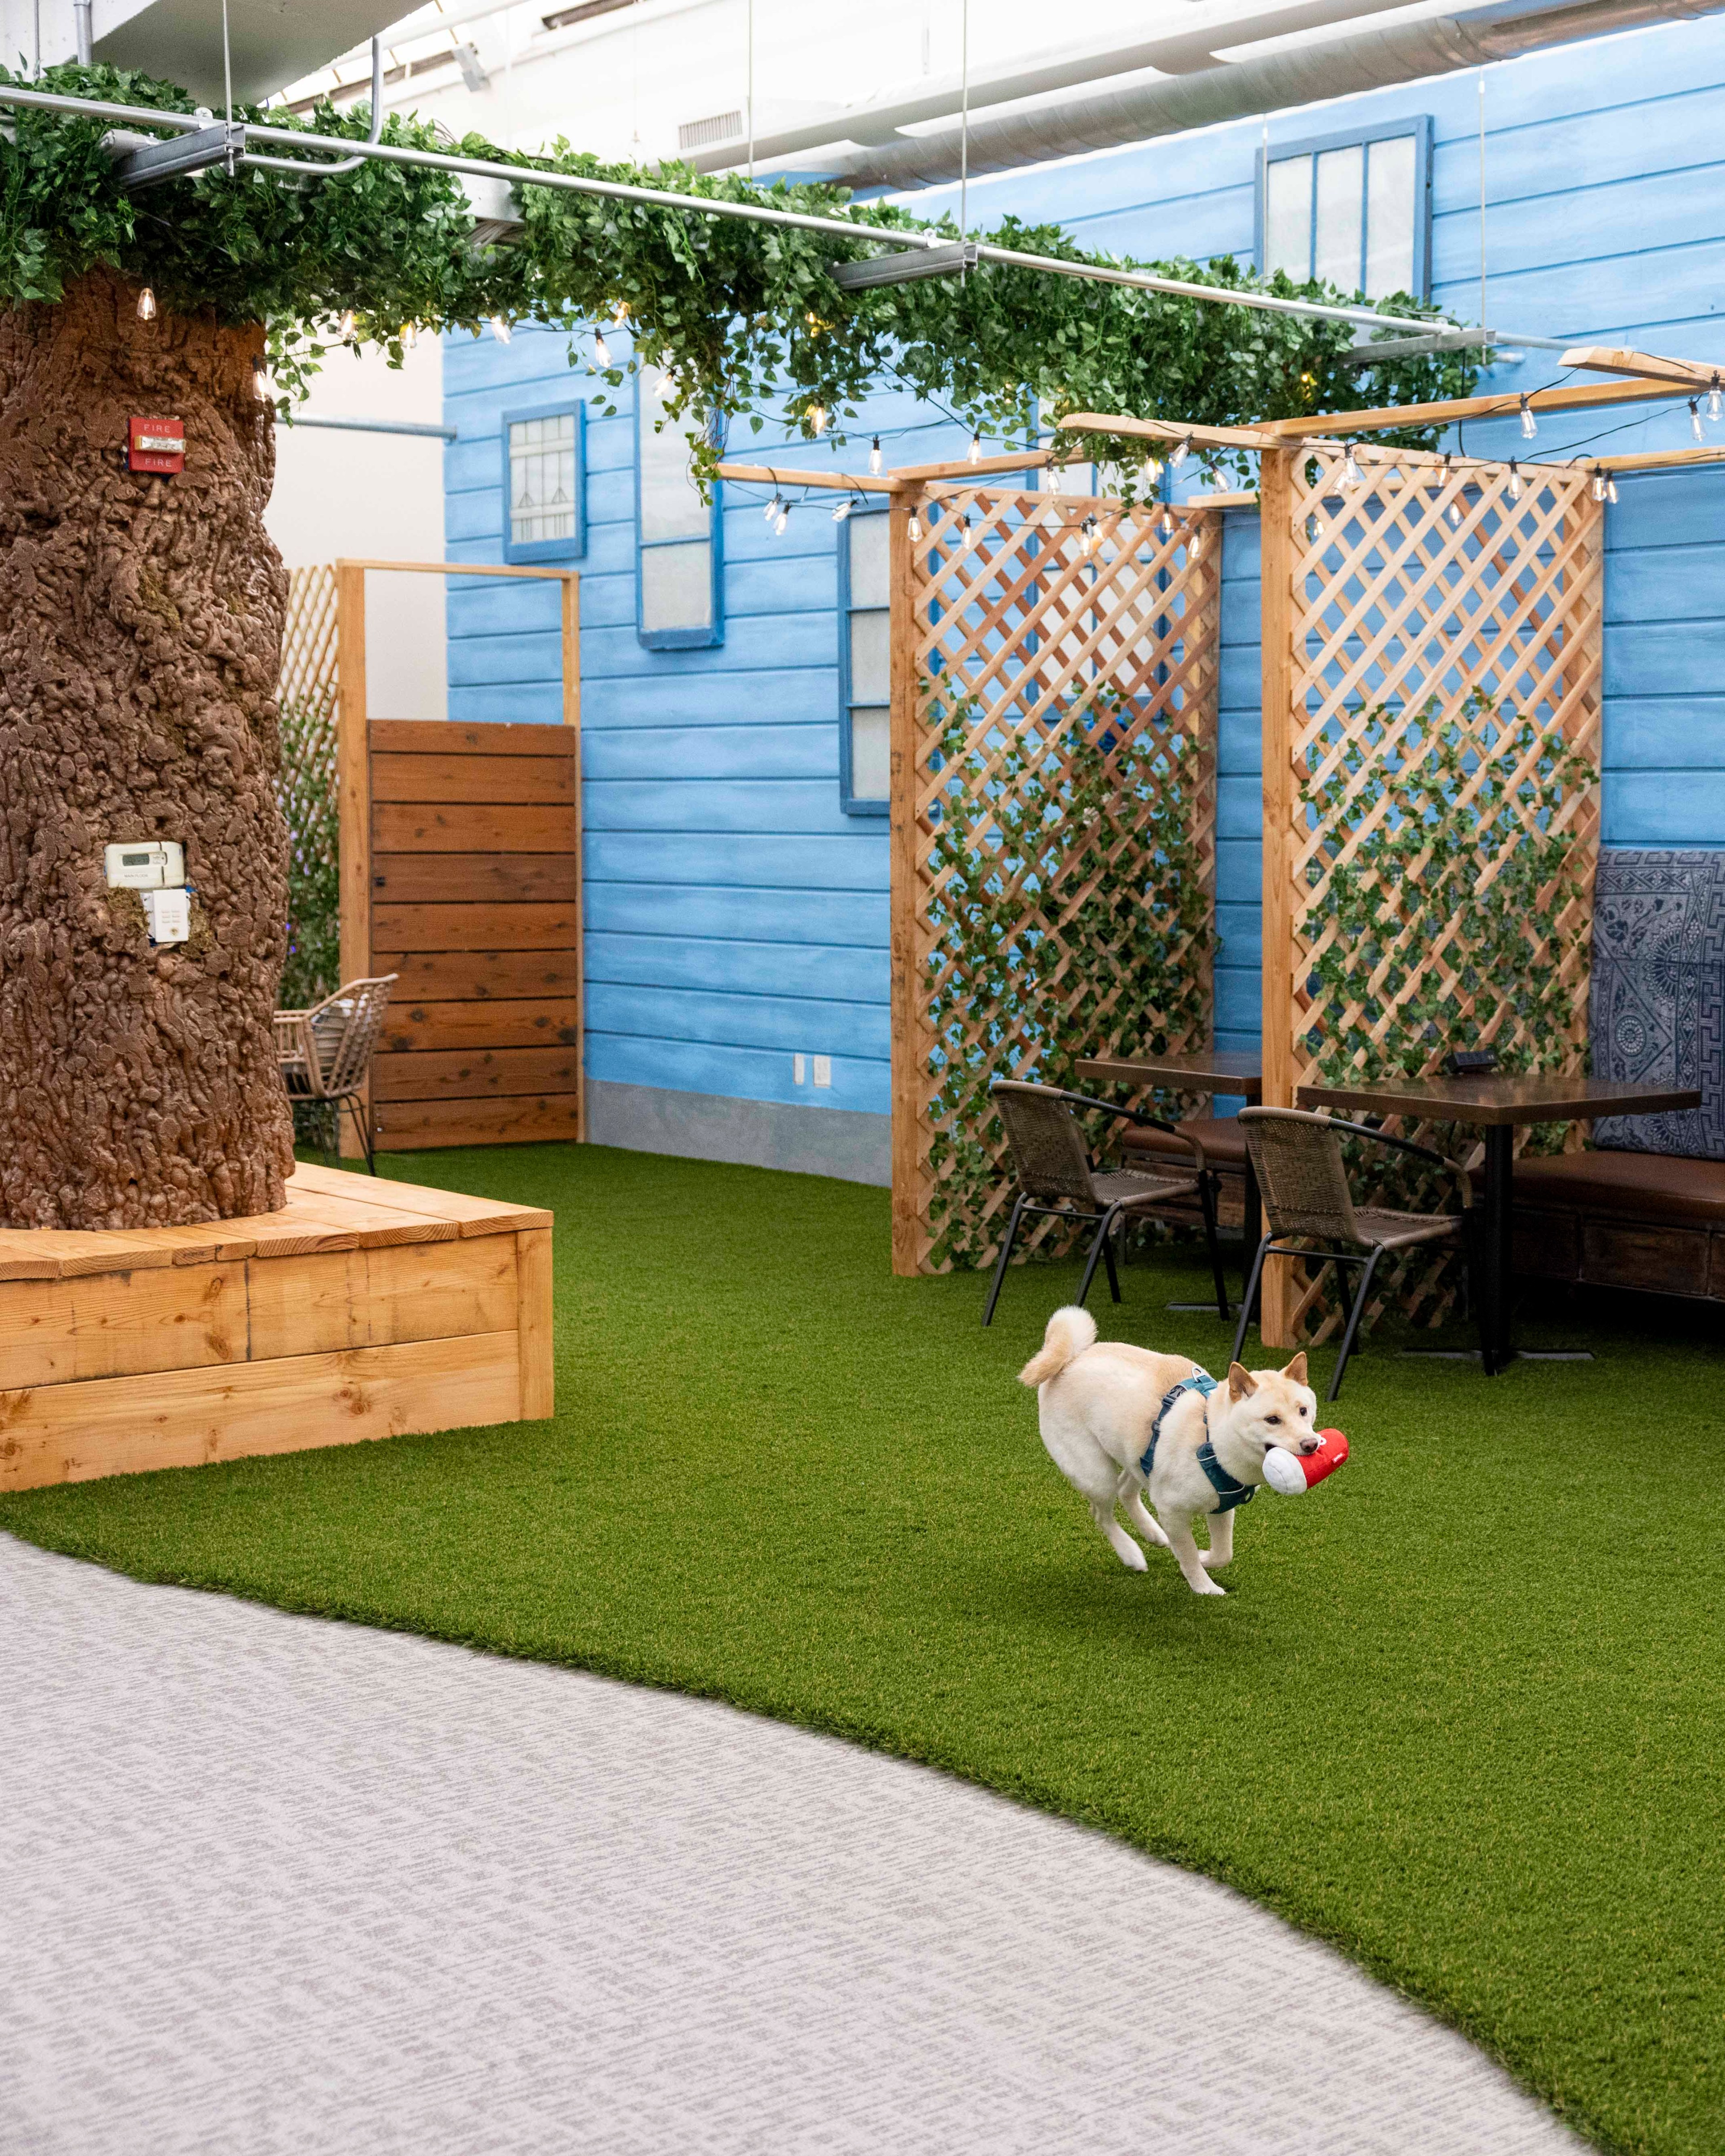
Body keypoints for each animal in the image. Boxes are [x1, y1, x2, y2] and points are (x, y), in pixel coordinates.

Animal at [1026, 1302, 1319, 1595]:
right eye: (1272, 1420)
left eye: (1304, 1411)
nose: (1312, 1444)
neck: (1212, 1437)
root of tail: (1072, 1358)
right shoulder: (1172, 1511)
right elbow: (1188, 1553)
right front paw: (1204, 1586)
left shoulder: (1221, 1507)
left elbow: (1224, 1553)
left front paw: (1205, 1558)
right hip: (1096, 1475)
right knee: (1102, 1514)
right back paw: (1131, 1553)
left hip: (1139, 1460)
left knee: (1125, 1491)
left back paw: (1153, 1533)